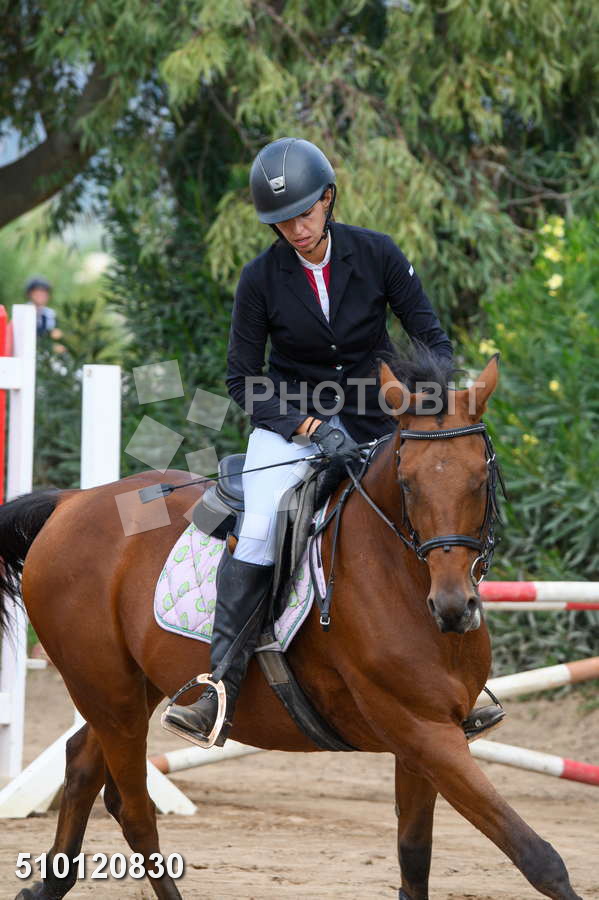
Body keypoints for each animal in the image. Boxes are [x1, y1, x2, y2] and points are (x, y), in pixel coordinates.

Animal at [2, 356, 582, 900]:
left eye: (480, 480)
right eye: (406, 482)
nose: (453, 607)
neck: (398, 576)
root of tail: (73, 501)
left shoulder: (433, 735)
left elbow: (415, 856)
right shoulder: (420, 730)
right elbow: (537, 855)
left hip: (134, 687)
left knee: (83, 763)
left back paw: (45, 884)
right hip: (109, 693)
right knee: (135, 809)